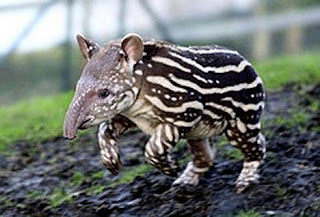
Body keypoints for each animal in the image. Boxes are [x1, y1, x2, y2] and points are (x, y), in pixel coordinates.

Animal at [62, 33, 264, 193]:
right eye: (77, 87)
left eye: (104, 93)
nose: (68, 133)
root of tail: (247, 61)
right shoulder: (127, 115)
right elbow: (104, 130)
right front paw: (111, 163)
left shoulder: (183, 114)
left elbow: (153, 148)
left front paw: (171, 168)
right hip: (198, 132)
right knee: (205, 156)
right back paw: (184, 183)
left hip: (242, 118)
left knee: (256, 143)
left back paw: (244, 182)